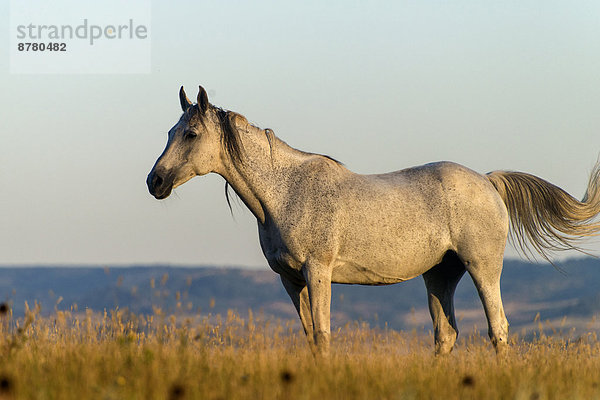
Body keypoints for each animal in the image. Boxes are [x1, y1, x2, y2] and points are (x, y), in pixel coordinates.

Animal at [148, 86, 600, 354]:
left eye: (190, 134)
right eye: (170, 131)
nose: (155, 182)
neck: (286, 191)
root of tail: (487, 180)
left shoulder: (318, 272)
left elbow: (324, 334)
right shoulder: (290, 280)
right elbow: (310, 337)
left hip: (482, 267)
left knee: (498, 328)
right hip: (440, 274)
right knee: (446, 334)